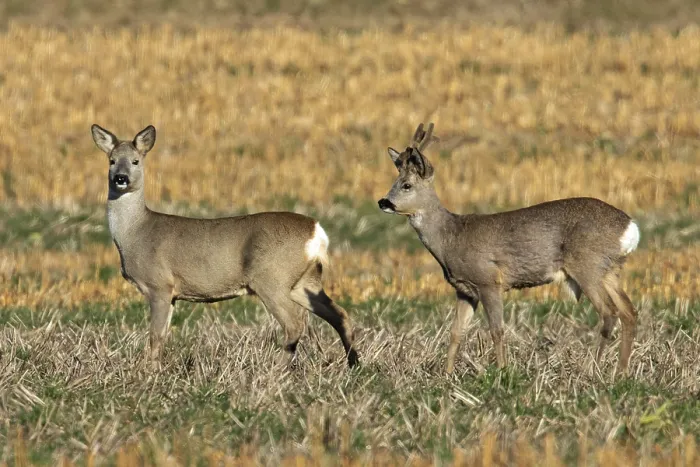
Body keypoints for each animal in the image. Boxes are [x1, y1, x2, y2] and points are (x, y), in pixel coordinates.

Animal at [91, 124, 358, 369]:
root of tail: (316, 231)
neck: (136, 233)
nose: (121, 178)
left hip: (271, 277)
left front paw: (150, 373)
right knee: (340, 315)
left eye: (135, 161)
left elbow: (155, 337)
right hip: (305, 281)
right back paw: (354, 364)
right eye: (111, 161)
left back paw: (276, 370)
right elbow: (163, 335)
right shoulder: (172, 293)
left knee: (295, 323)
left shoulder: (160, 285)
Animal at [378, 123, 640, 376]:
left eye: (406, 185)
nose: (383, 202)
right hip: (609, 270)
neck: (450, 238)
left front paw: (503, 371)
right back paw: (622, 373)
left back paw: (592, 370)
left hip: (588, 265)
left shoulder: (488, 281)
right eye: (394, 182)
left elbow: (497, 330)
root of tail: (630, 228)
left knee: (609, 313)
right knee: (629, 312)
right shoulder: (465, 290)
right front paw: (447, 375)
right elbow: (455, 332)